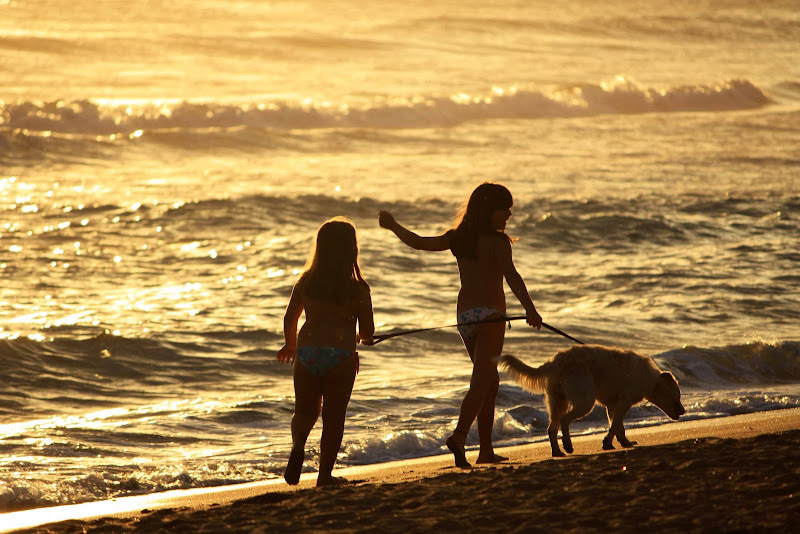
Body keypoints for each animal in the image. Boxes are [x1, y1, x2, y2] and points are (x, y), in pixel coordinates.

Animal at [496, 350, 684, 458]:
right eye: (677, 396)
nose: (683, 411)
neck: (651, 379)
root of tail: (556, 362)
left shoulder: (613, 406)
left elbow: (618, 427)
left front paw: (624, 442)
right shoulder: (624, 402)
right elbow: (615, 426)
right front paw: (608, 443)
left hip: (558, 402)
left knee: (552, 428)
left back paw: (557, 451)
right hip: (585, 402)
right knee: (564, 421)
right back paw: (568, 445)